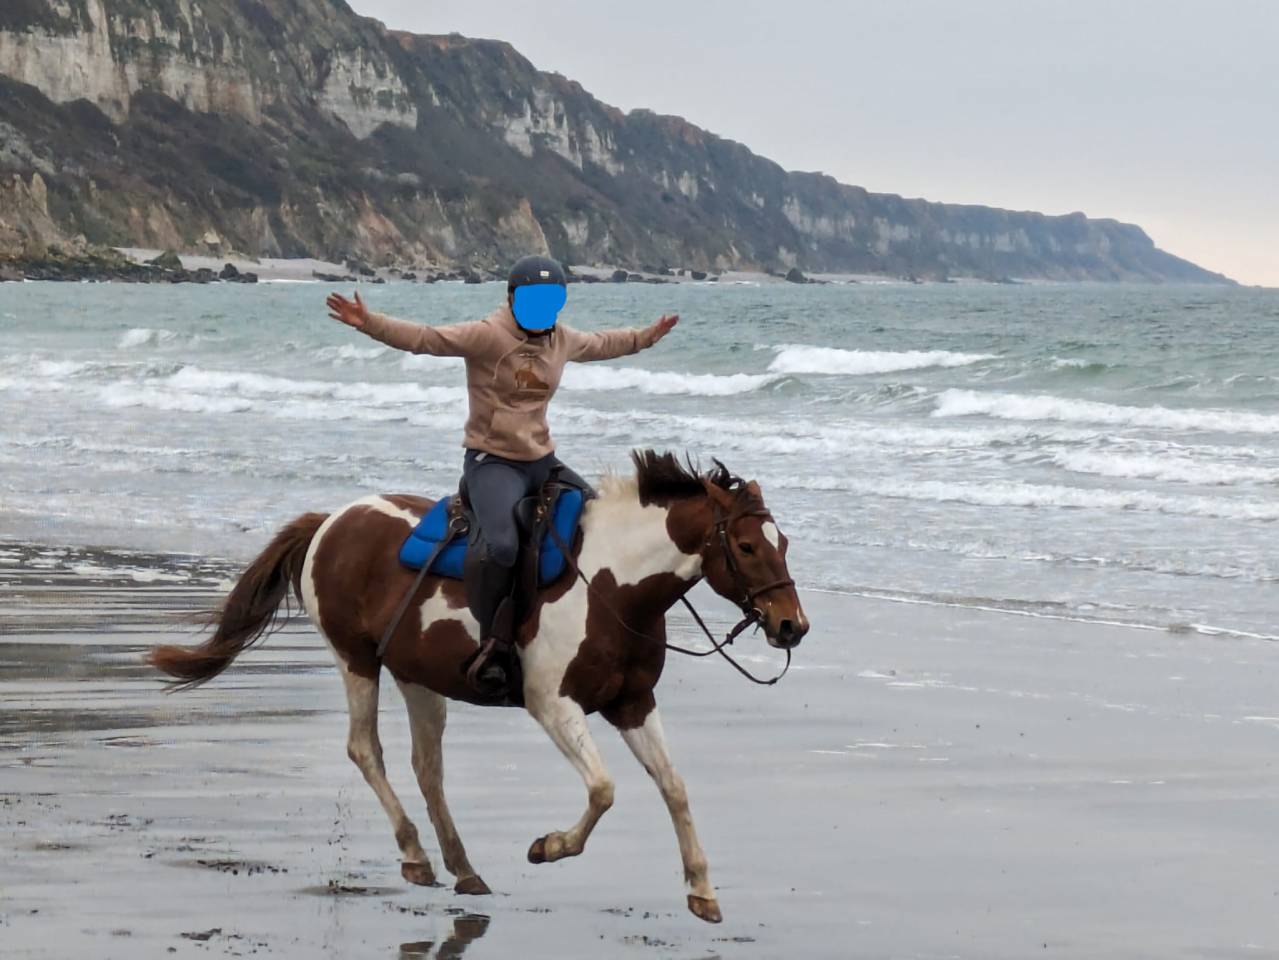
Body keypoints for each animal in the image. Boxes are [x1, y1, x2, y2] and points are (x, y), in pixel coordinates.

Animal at [147, 449, 809, 923]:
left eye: (782, 543)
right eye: (746, 545)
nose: (791, 626)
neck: (614, 584)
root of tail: (331, 521)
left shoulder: (632, 704)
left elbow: (673, 787)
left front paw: (702, 890)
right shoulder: (553, 704)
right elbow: (603, 790)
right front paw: (548, 846)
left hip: (416, 676)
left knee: (427, 767)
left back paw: (462, 867)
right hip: (355, 660)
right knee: (366, 750)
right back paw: (416, 856)